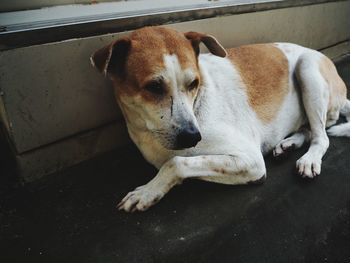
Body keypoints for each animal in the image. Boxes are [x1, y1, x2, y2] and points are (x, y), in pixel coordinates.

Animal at [91, 26, 350, 212]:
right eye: (154, 87)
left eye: (193, 83)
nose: (193, 136)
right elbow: (176, 161)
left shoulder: (250, 160)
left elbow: (176, 162)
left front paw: (147, 190)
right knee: (311, 129)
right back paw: (287, 144)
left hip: (308, 69)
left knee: (321, 137)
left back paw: (309, 158)